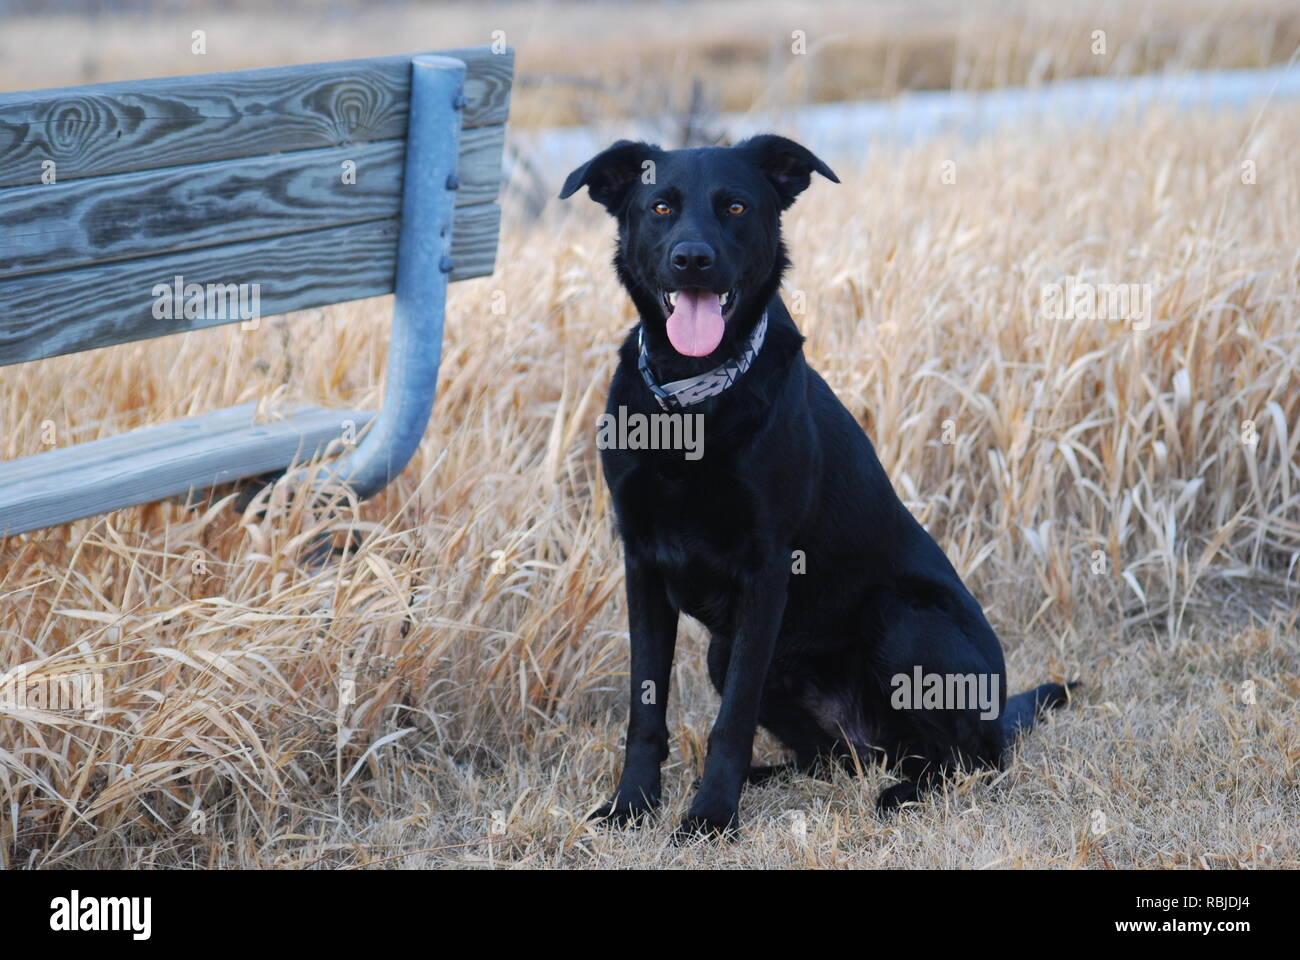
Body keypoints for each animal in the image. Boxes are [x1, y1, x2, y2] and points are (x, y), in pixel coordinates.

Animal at [564, 134, 1071, 837]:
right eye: (661, 206)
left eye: (736, 206)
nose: (692, 260)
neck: (694, 403)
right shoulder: (640, 562)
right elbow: (646, 707)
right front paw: (634, 804)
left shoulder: (767, 566)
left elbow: (731, 721)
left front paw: (711, 818)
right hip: (726, 652)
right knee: (831, 759)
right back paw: (777, 776)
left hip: (902, 620)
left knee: (971, 758)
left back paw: (901, 794)